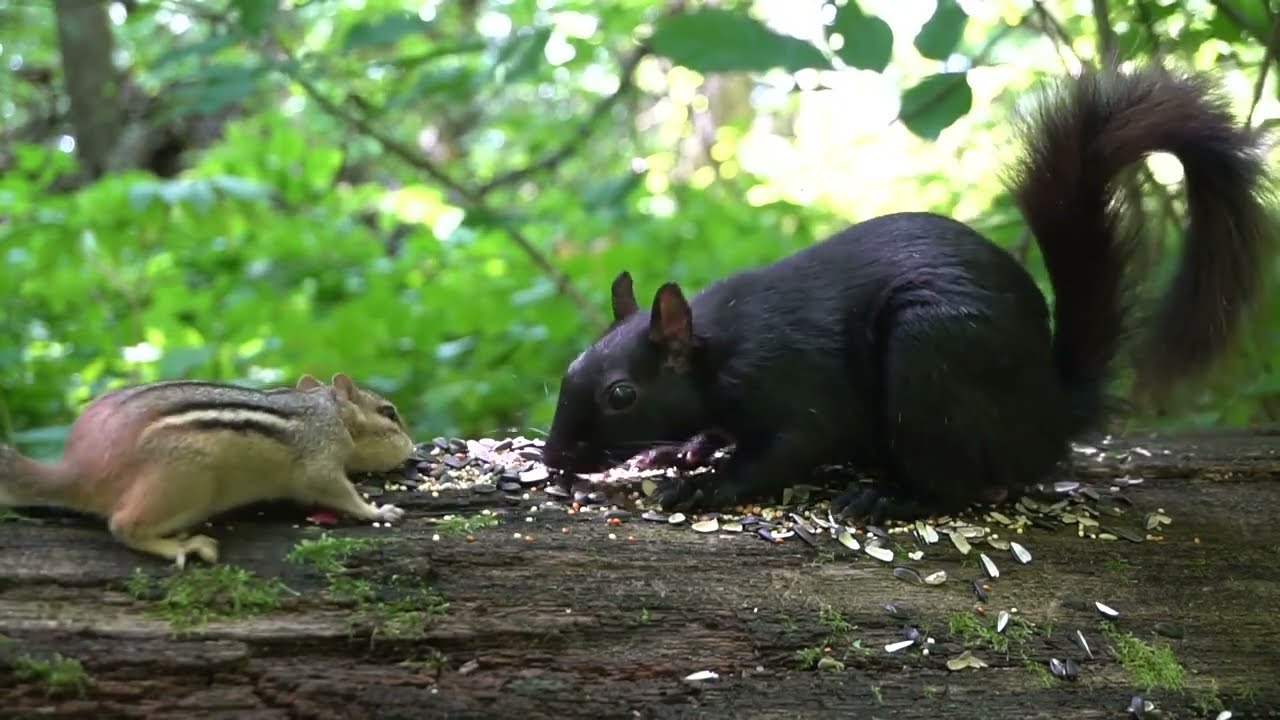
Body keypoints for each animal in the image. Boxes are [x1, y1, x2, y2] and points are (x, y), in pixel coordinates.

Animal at [0, 373, 414, 566]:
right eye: (389, 413)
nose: (411, 448)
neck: (326, 410)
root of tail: (80, 470)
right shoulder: (320, 459)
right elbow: (337, 491)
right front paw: (378, 510)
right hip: (187, 482)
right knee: (123, 526)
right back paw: (183, 546)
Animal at [540, 63, 1277, 522]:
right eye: (570, 368)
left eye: (621, 395)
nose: (553, 460)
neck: (717, 348)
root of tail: (1050, 419)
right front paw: (678, 449)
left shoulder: (795, 389)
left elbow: (792, 446)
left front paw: (709, 485)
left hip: (933, 362)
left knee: (963, 484)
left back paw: (890, 499)